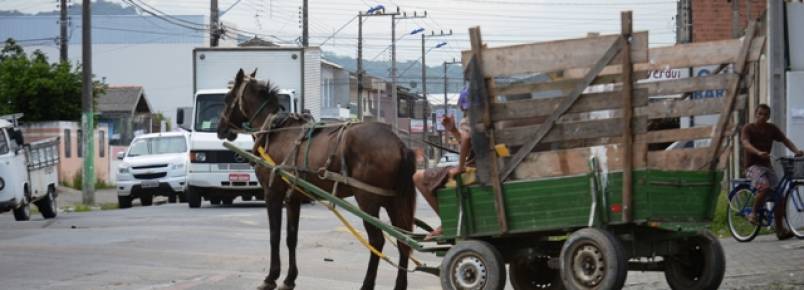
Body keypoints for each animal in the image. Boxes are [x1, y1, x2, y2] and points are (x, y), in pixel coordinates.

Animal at [217, 68, 418, 290]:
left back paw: (367, 284)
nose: (220, 129)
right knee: (403, 241)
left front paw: (271, 277)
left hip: (368, 200)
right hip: (395, 200)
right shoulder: (293, 198)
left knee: (377, 241)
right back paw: (400, 284)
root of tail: (399, 144)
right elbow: (291, 237)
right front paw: (289, 278)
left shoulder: (273, 193)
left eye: (227, 99)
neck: (275, 130)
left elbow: (274, 235)